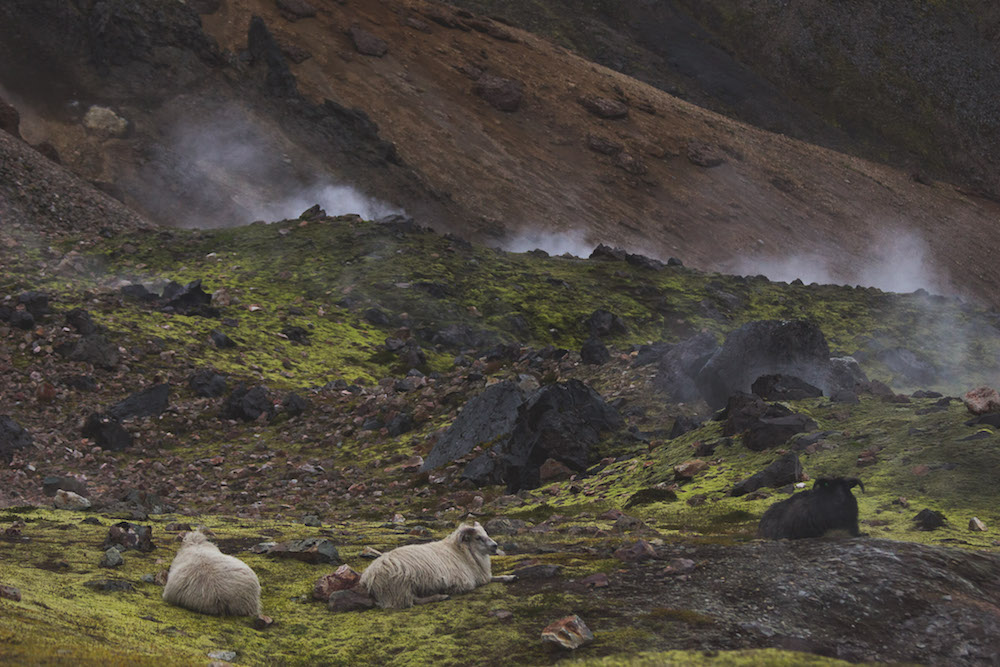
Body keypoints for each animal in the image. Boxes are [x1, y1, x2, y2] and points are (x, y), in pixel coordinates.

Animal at [360, 520, 516, 612]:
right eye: (478, 537)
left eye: (486, 534)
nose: (495, 546)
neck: (462, 553)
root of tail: (369, 576)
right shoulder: (466, 581)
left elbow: (492, 578)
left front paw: (510, 576)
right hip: (400, 587)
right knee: (413, 601)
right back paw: (441, 596)